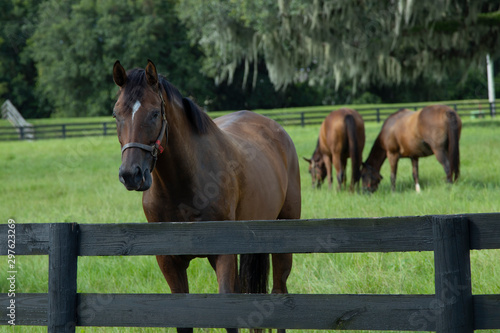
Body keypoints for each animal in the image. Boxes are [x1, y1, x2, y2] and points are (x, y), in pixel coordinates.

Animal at [112, 59, 300, 332]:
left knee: (279, 291)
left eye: (154, 113)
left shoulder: (223, 255)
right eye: (116, 115)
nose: (130, 174)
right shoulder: (169, 261)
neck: (185, 186)